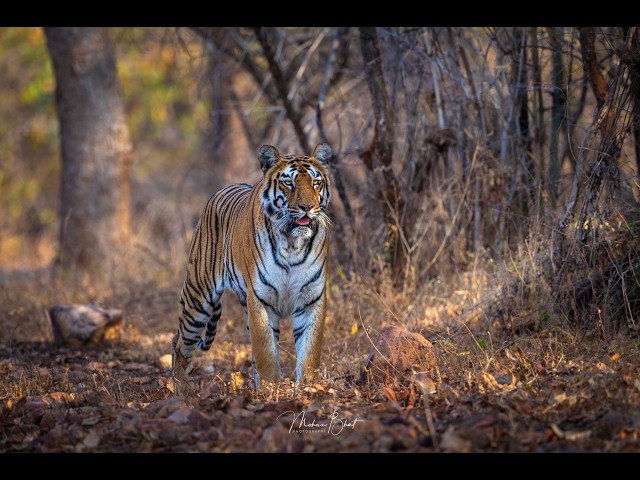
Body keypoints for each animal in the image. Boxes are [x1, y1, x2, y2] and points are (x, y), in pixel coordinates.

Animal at [171, 143, 332, 392]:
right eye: (289, 183)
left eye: (316, 183)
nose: (307, 207)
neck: (292, 244)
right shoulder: (260, 298)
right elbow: (265, 349)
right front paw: (271, 387)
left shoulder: (311, 297)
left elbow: (310, 349)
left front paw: (308, 386)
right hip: (197, 300)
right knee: (178, 343)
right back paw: (180, 390)